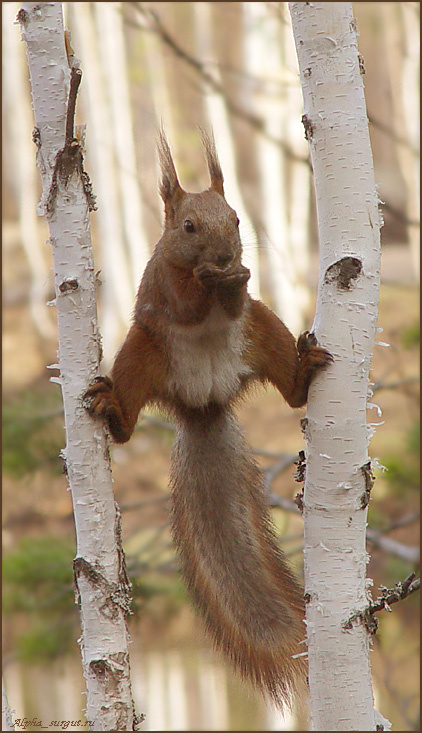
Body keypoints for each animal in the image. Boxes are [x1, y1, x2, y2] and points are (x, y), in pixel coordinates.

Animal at [83, 130, 332, 709]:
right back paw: (112, 409)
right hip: (140, 357)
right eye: (188, 226)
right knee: (127, 423)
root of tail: (205, 404)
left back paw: (304, 368)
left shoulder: (243, 303)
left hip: (263, 331)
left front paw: (237, 277)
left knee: (290, 390)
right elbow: (186, 302)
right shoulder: (164, 282)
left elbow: (236, 298)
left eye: (237, 220)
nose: (223, 256)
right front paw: (207, 280)